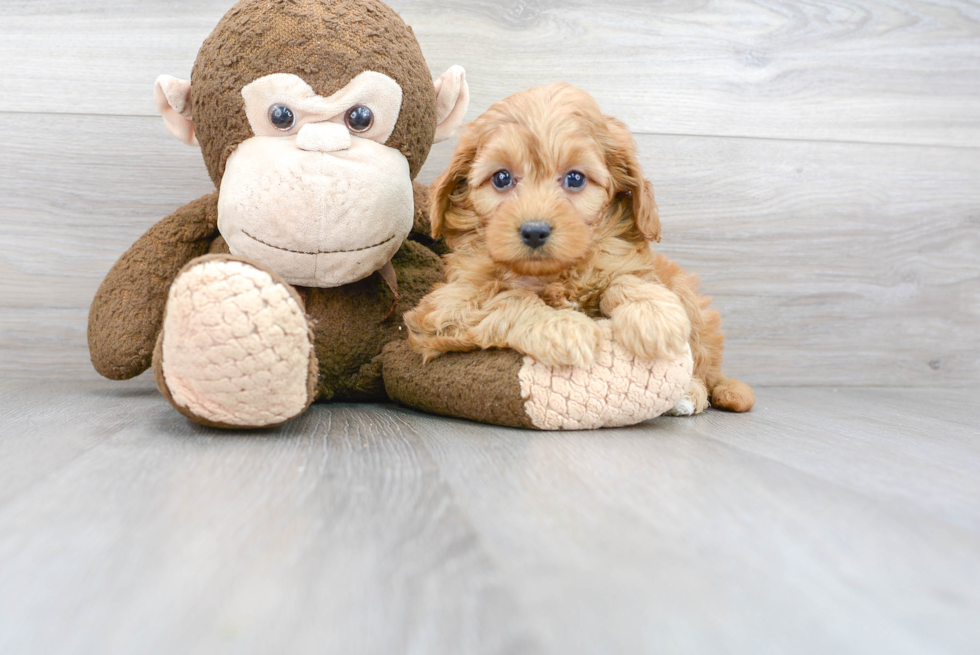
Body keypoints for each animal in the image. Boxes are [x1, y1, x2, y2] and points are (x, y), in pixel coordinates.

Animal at [402, 83, 756, 416]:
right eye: (501, 178)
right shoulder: (444, 306)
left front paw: (654, 316)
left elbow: (627, 280)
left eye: (575, 179)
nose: (534, 231)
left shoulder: (626, 262)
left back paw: (690, 393)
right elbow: (508, 298)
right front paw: (564, 327)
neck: (554, 274)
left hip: (687, 295)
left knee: (705, 369)